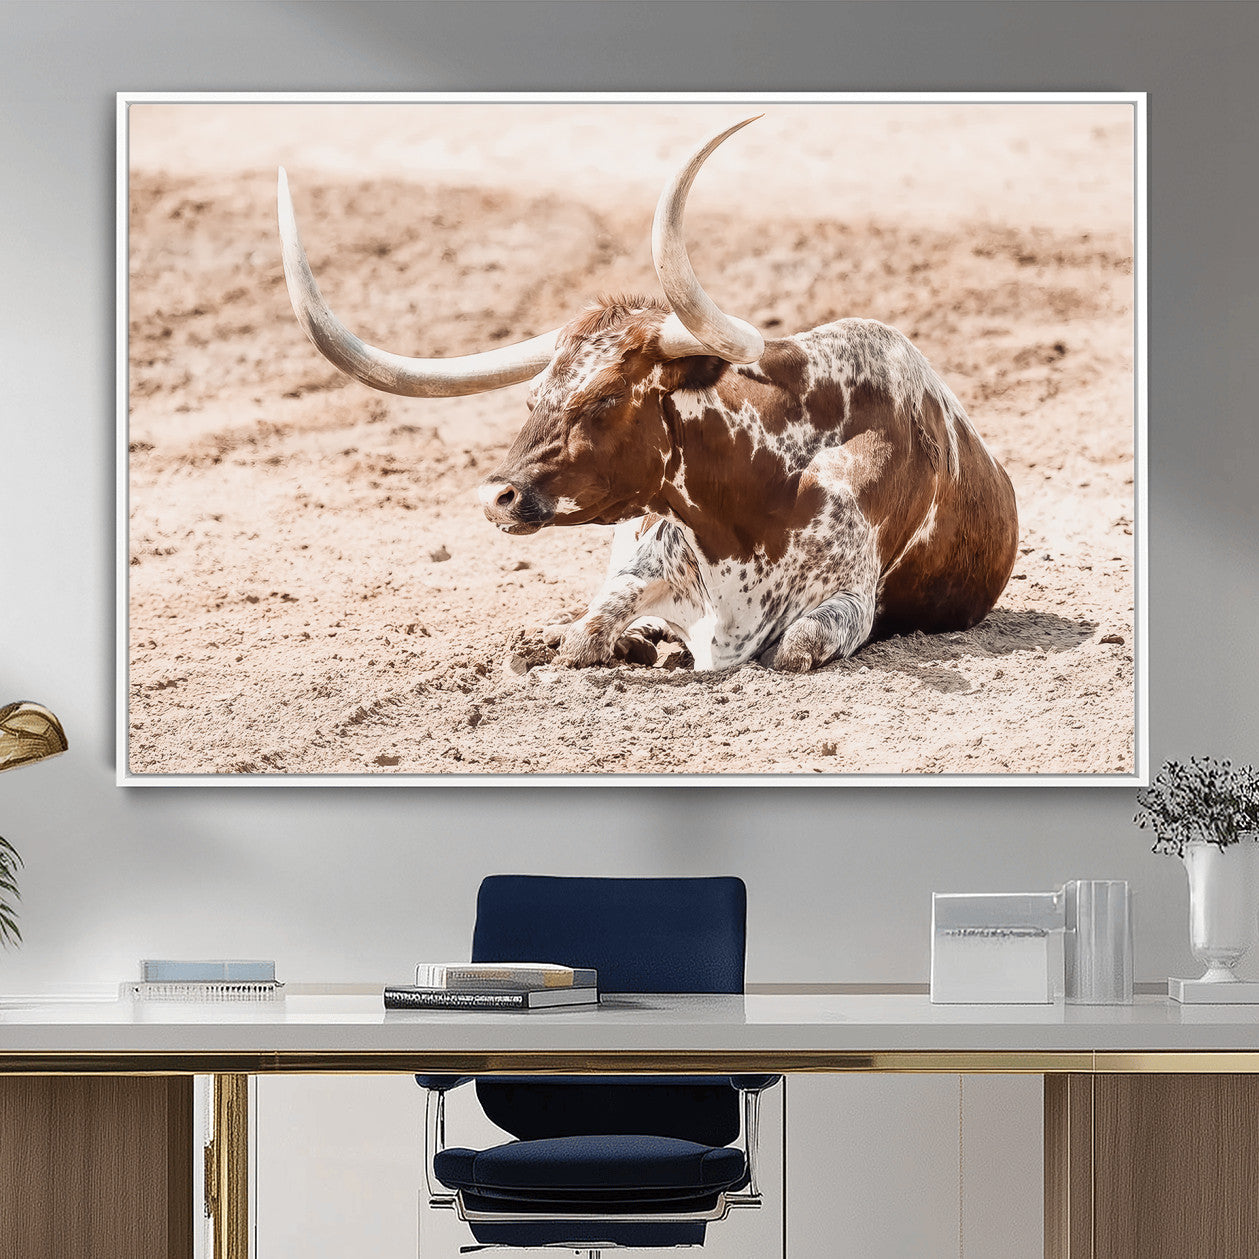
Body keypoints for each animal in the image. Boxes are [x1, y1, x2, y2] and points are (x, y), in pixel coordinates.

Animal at [278, 118, 1019, 673]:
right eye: (533, 397)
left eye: (605, 398)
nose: (497, 496)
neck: (754, 498)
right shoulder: (639, 564)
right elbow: (585, 633)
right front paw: (608, 640)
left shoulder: (847, 603)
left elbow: (792, 649)